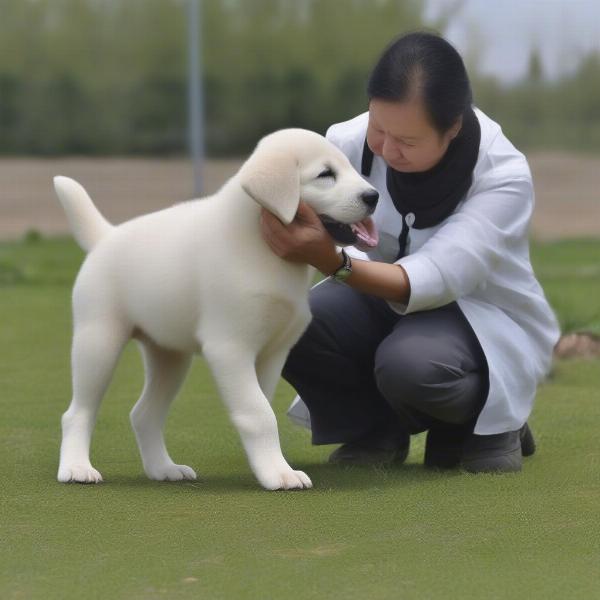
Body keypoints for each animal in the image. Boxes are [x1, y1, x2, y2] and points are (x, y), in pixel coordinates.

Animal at [54, 129, 378, 490]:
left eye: (348, 166)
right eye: (325, 174)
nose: (373, 196)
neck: (259, 246)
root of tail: (105, 237)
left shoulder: (273, 352)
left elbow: (261, 405)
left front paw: (268, 467)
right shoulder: (230, 347)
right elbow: (258, 414)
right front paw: (279, 473)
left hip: (169, 356)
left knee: (143, 414)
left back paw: (163, 468)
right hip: (98, 341)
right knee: (78, 412)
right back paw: (77, 468)